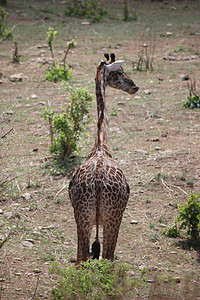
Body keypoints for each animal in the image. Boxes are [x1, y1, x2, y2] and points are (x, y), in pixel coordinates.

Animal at [69, 52, 139, 264]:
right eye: (119, 71)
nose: (134, 87)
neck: (101, 143)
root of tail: (98, 183)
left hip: (82, 217)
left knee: (82, 256)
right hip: (112, 219)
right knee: (108, 256)